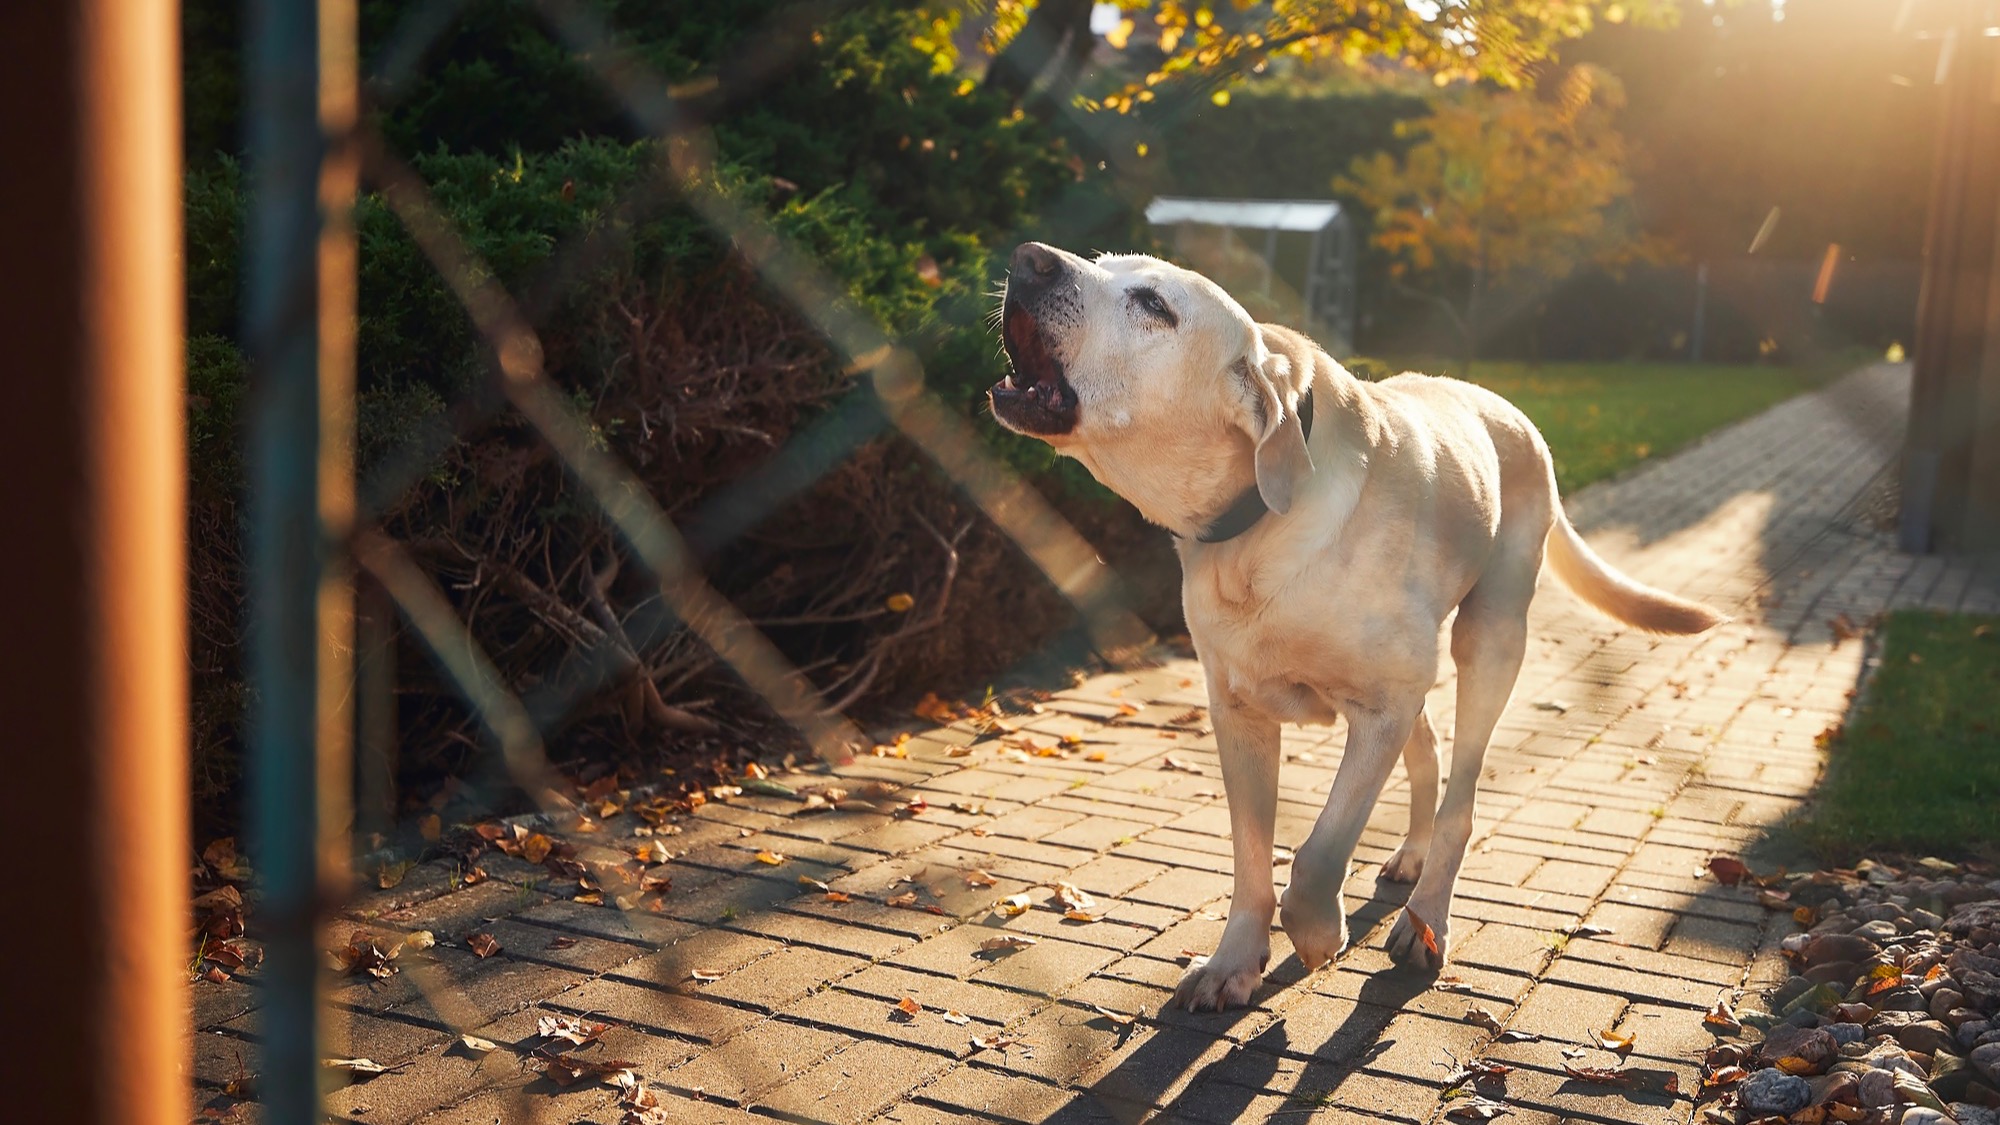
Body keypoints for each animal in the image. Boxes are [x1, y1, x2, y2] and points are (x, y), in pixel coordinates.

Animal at [984, 243, 1720, 1008]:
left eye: (1154, 304)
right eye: (1102, 264)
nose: (1030, 258)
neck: (1259, 527)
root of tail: (1511, 411)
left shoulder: (1378, 710)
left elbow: (1317, 854)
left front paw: (1315, 936)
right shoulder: (1240, 713)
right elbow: (1252, 855)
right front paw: (1233, 962)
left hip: (1489, 639)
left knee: (1461, 794)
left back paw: (1426, 919)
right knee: (1428, 755)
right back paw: (1412, 857)